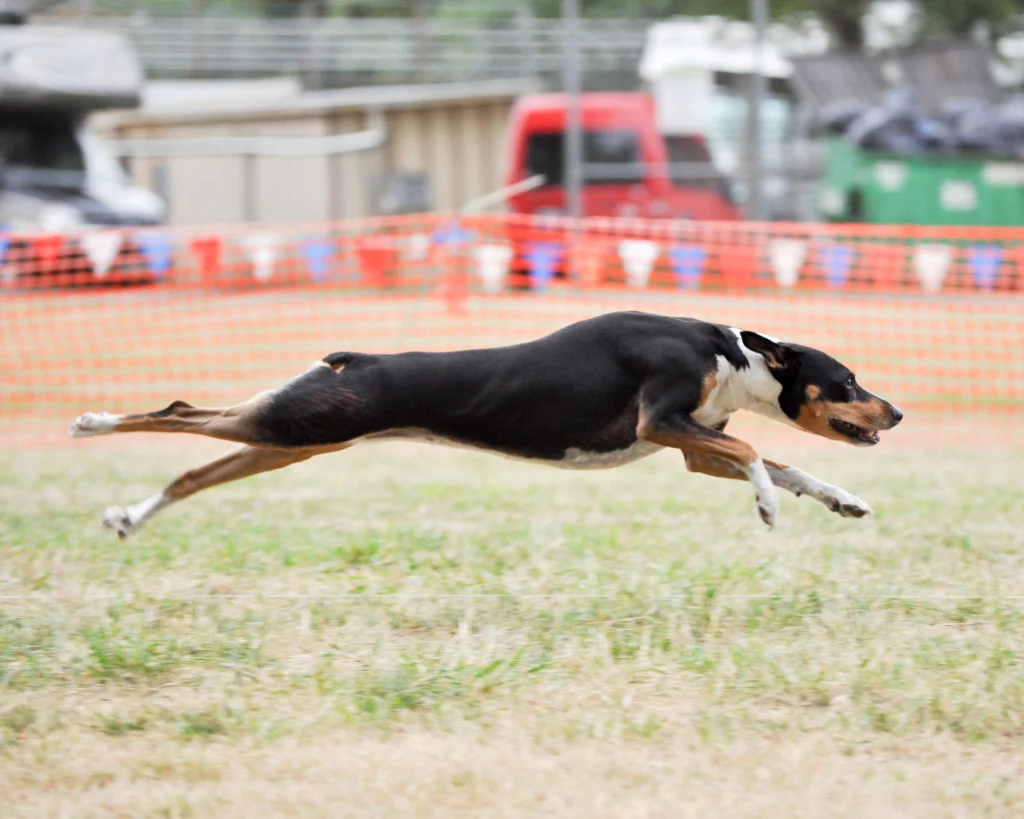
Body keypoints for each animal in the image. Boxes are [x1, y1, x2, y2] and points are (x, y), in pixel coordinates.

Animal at [70, 309, 905, 536]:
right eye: (848, 380)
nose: (896, 410)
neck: (730, 356)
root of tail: (353, 359)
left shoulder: (692, 445)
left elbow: (786, 461)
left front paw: (842, 498)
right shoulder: (662, 421)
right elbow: (757, 448)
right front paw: (764, 505)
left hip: (294, 437)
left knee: (192, 462)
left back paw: (126, 515)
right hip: (295, 426)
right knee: (176, 415)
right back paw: (90, 421)